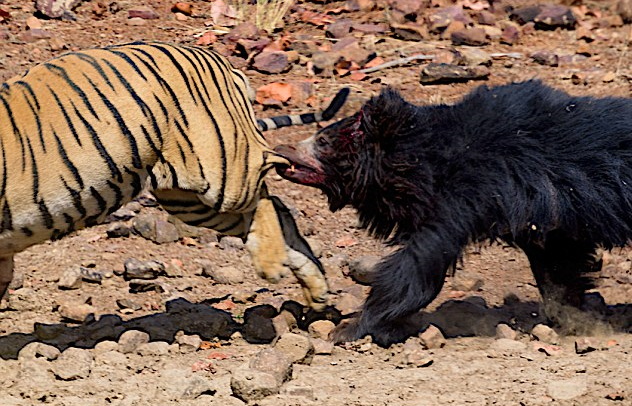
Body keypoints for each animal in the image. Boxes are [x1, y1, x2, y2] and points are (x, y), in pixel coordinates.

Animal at [0, 41, 346, 310]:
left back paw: (271, 265)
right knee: (277, 209)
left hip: (225, 173)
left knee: (266, 186)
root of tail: (221, 62)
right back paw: (316, 289)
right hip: (188, 200)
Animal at [276, 81, 632, 348]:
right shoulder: (545, 216)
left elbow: (418, 265)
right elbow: (558, 264)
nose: (281, 150)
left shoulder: (465, 196)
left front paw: (349, 328)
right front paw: (572, 318)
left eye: (323, 140)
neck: (421, 160)